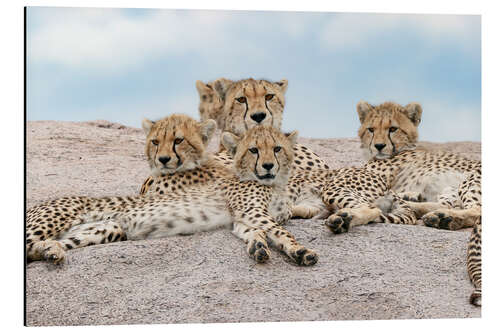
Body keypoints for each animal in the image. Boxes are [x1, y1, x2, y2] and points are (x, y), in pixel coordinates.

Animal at [26, 115, 316, 266]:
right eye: (253, 150)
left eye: (277, 149)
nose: (267, 166)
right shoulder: (252, 211)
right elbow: (280, 230)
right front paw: (301, 250)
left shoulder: (243, 217)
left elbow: (256, 232)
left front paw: (258, 247)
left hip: (106, 229)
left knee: (39, 248)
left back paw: (52, 251)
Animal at [356, 100, 480, 304]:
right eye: (371, 129)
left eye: (393, 129)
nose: (379, 146)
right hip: (451, 189)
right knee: (444, 204)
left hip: (470, 180)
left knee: (475, 209)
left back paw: (445, 219)